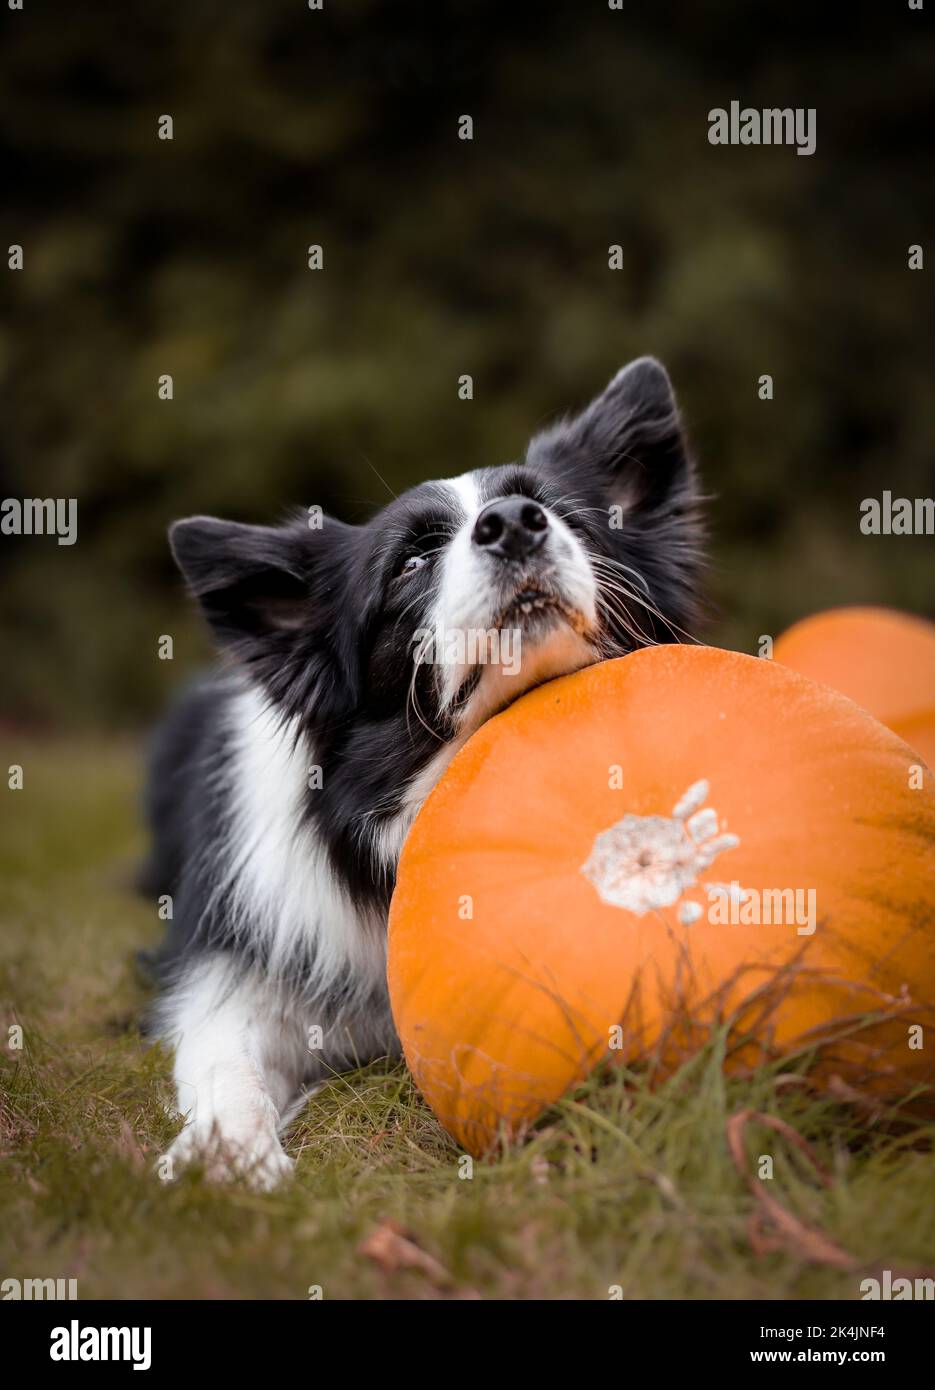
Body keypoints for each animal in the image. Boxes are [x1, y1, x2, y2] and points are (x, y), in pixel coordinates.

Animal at [142, 355, 700, 1184]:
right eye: (409, 564)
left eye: (562, 515)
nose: (512, 523)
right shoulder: (230, 972)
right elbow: (222, 1052)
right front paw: (225, 1151)